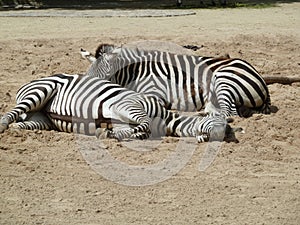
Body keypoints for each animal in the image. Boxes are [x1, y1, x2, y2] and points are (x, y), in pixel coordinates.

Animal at [0, 71, 240, 143]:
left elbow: (140, 132)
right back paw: (2, 125)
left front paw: (108, 132)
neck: (165, 119)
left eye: (229, 132)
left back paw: (16, 129)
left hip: (41, 119)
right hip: (42, 91)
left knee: (22, 122)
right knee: (11, 113)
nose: (222, 136)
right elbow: (144, 124)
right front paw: (107, 132)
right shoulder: (129, 105)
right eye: (218, 121)